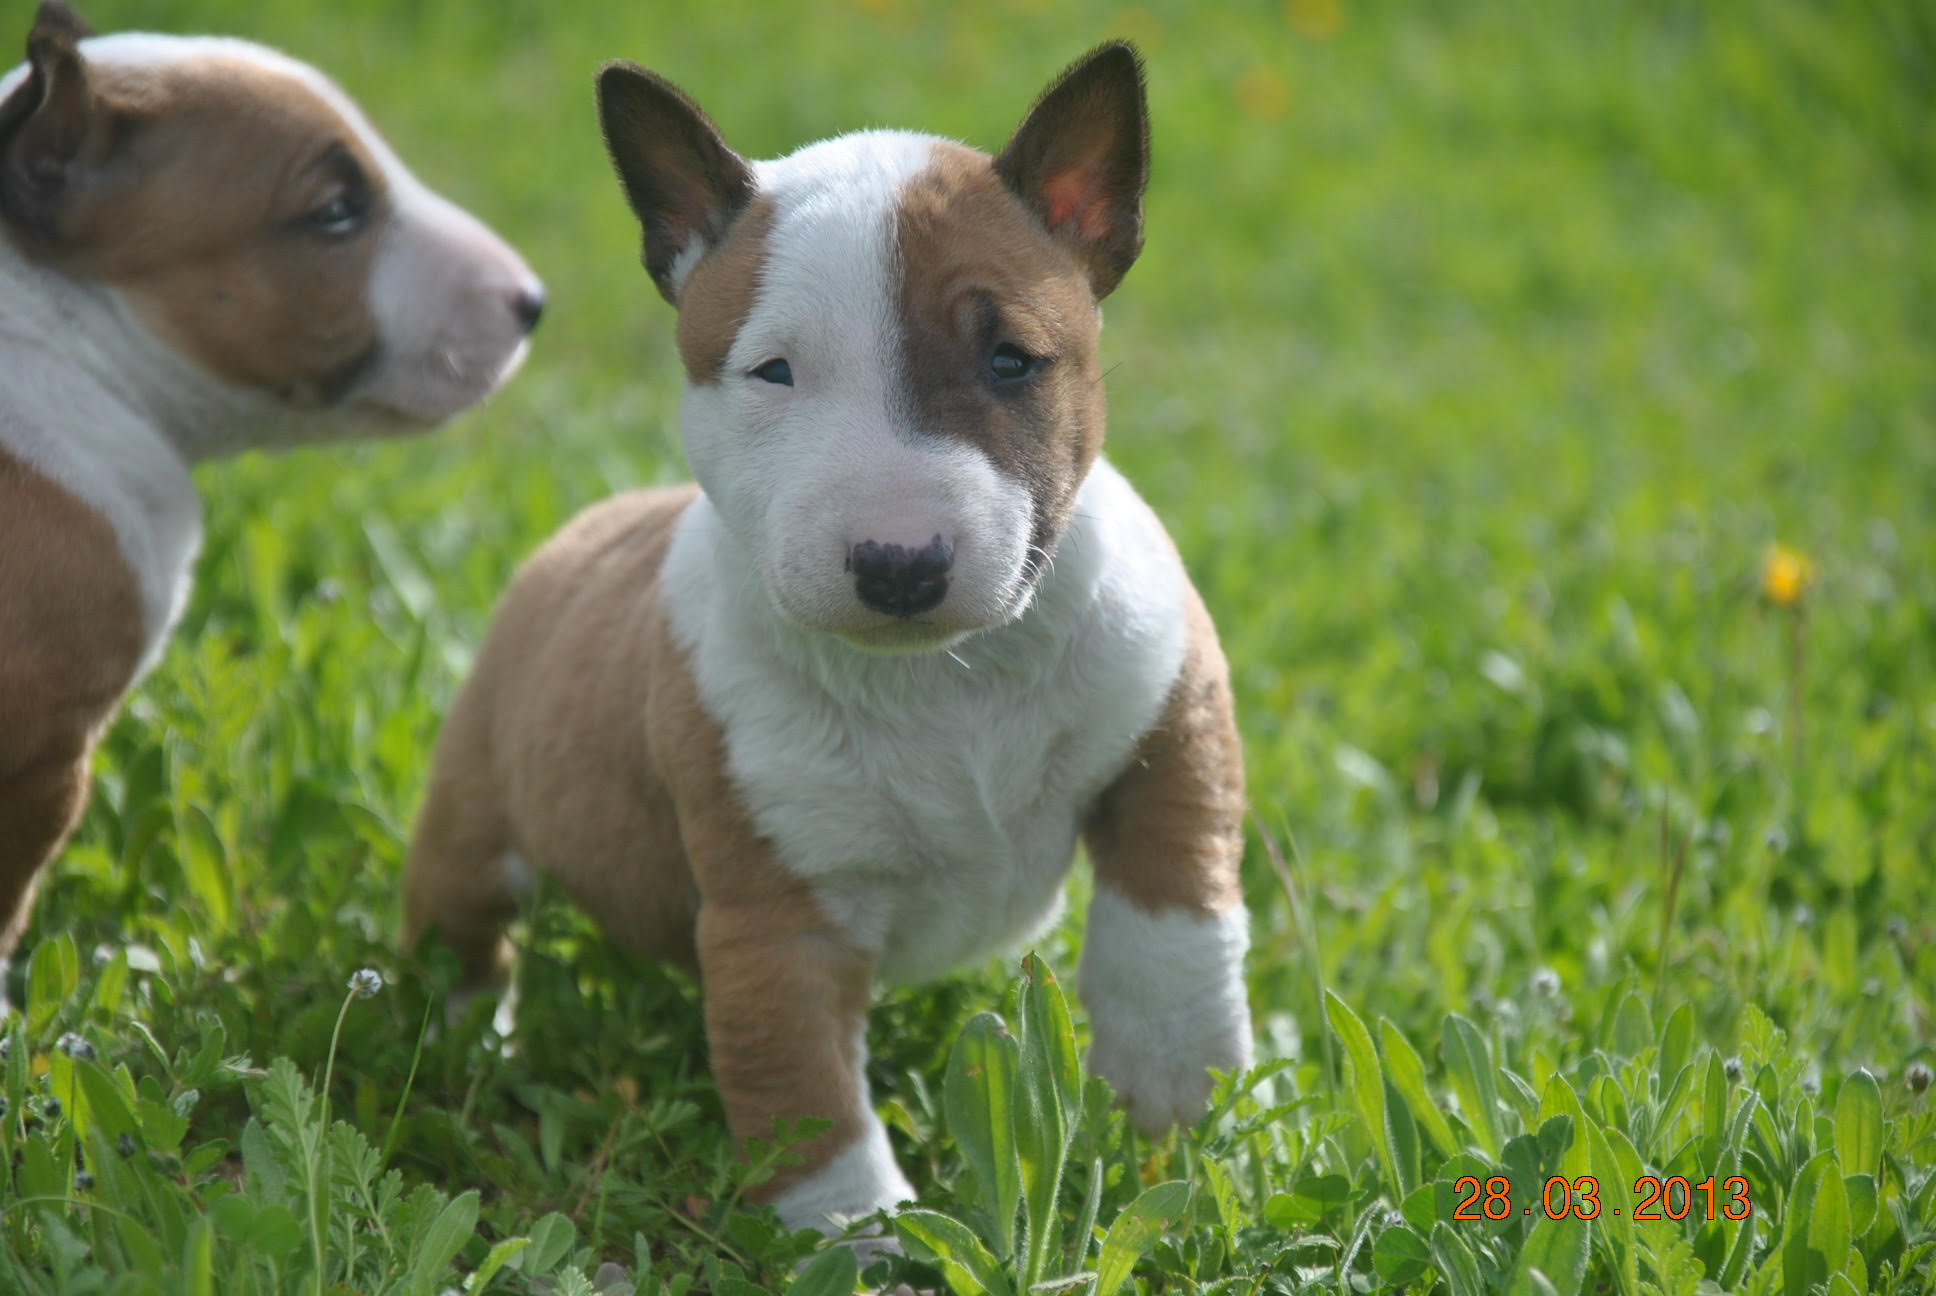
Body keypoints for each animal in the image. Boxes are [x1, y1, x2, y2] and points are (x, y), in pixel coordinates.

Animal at [406, 42, 1246, 1232]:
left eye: (1010, 360)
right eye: (774, 371)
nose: (900, 564)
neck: (945, 681)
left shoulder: (1169, 706)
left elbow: (1173, 897)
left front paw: (1172, 1076)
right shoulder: (777, 918)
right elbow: (799, 1086)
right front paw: (859, 1233)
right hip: (475, 817)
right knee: (461, 927)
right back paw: (456, 1036)